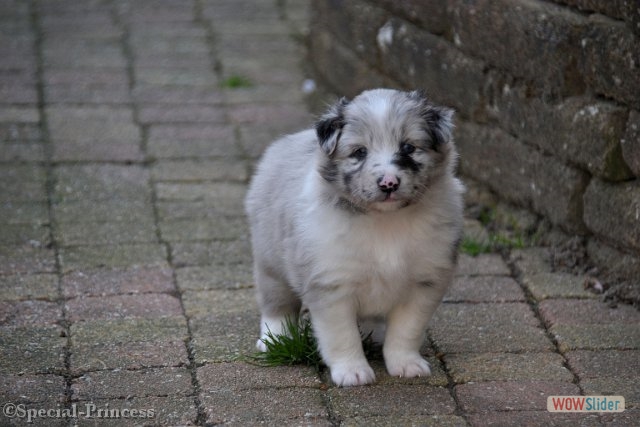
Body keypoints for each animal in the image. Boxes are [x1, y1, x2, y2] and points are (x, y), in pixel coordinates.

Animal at [246, 88, 464, 386]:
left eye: (408, 147)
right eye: (359, 152)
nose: (388, 183)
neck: (386, 222)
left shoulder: (424, 283)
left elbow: (406, 331)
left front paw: (406, 364)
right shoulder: (331, 284)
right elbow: (342, 335)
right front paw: (352, 372)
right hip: (270, 261)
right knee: (277, 305)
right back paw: (274, 339)